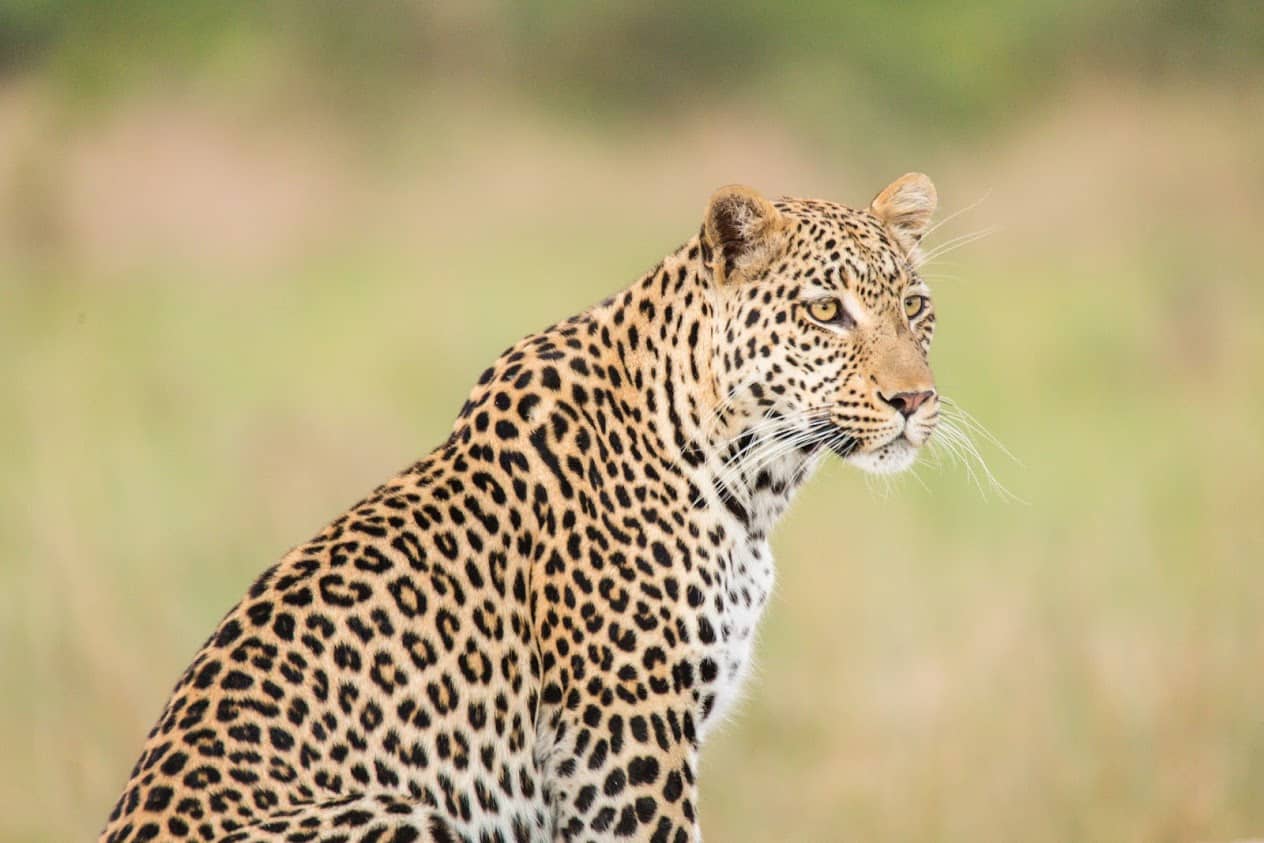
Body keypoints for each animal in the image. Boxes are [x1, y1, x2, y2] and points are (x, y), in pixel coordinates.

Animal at [99, 173, 942, 843]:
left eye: (914, 305)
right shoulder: (622, 741)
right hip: (400, 812)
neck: (753, 473)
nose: (915, 400)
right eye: (826, 310)